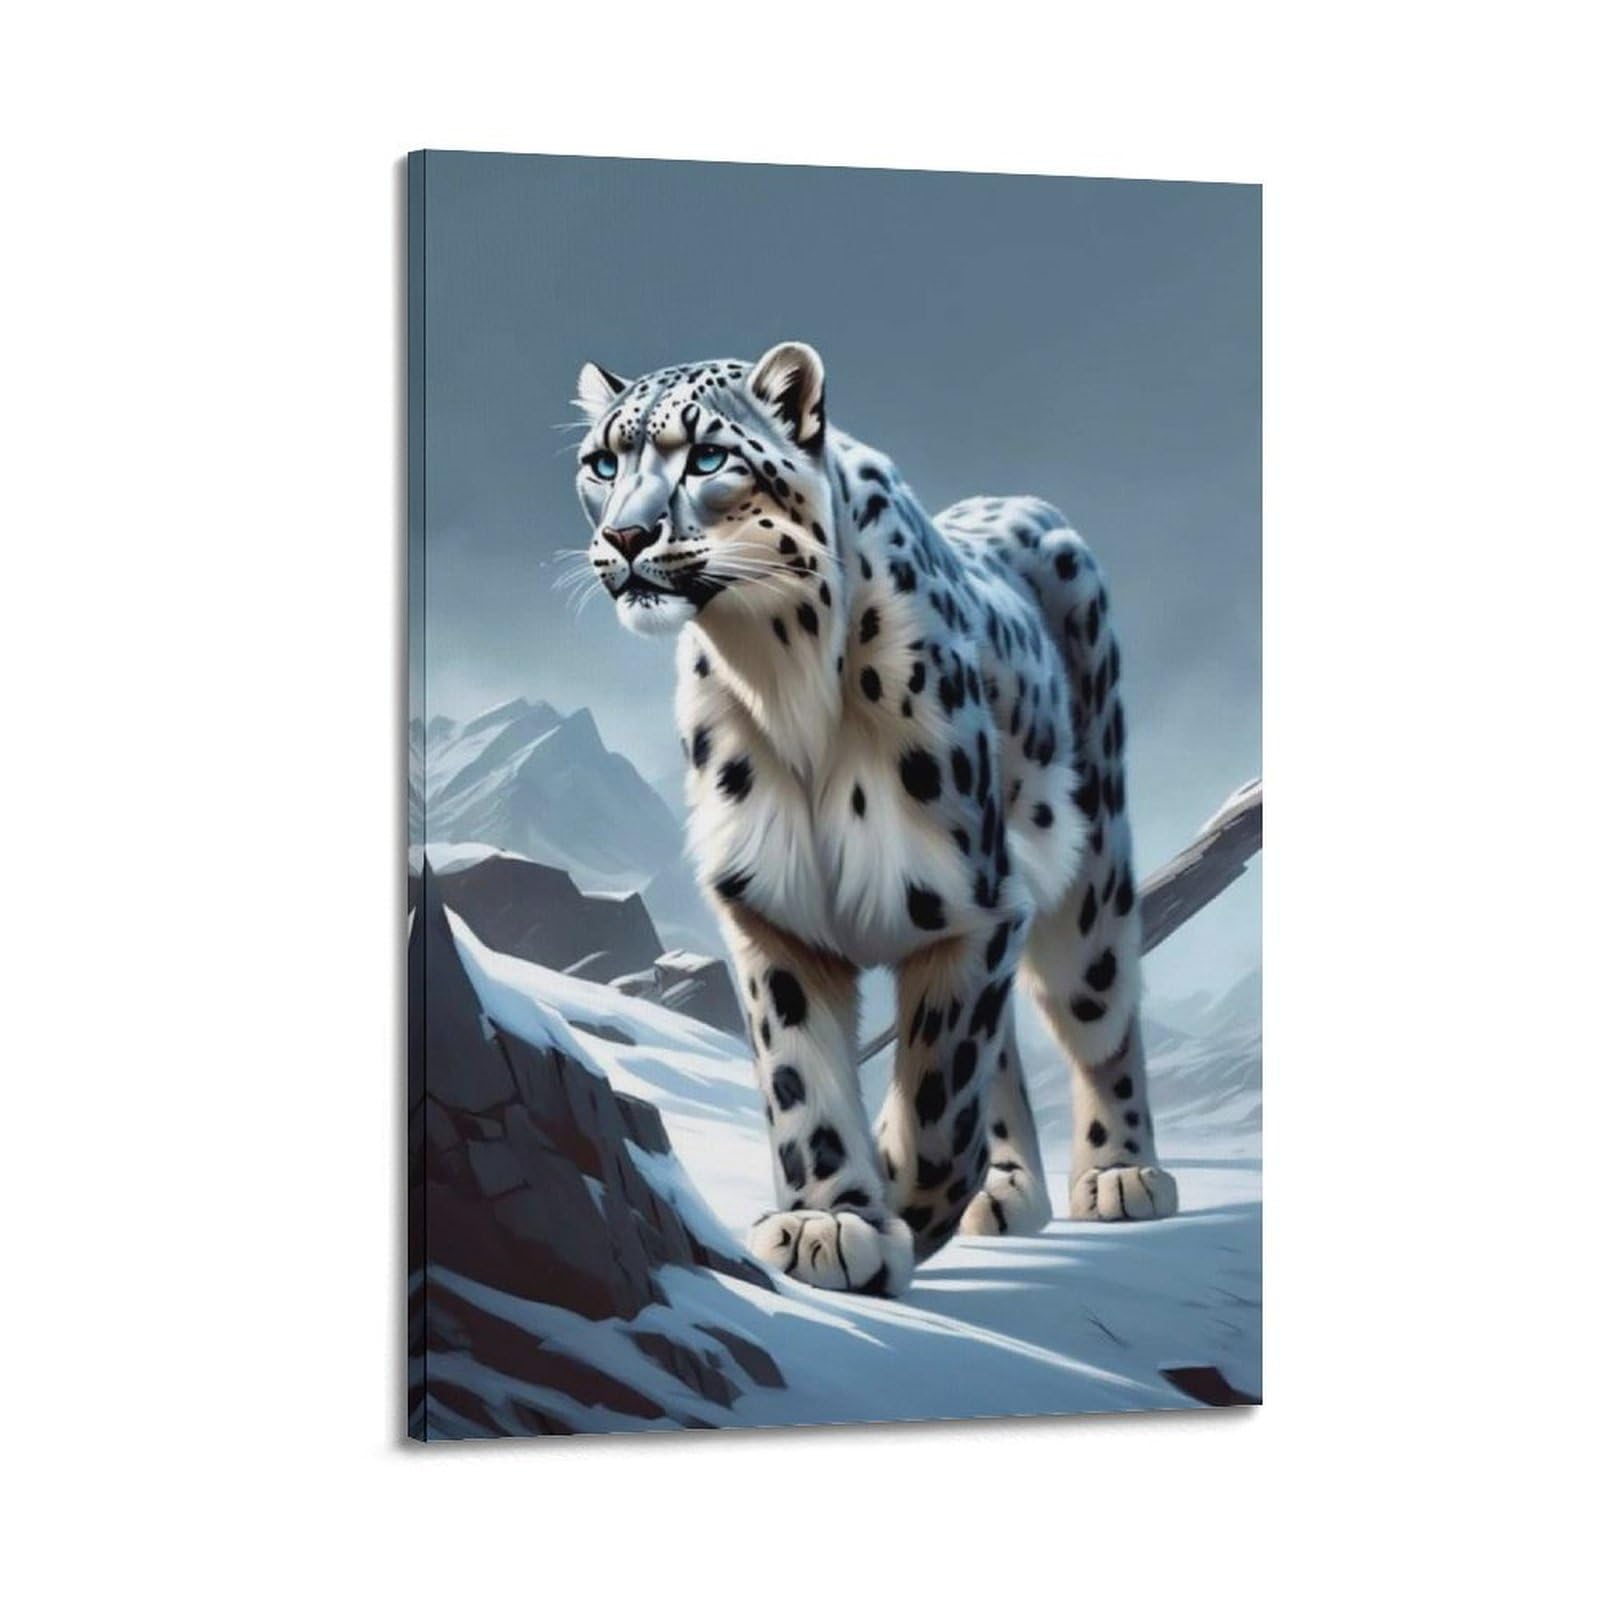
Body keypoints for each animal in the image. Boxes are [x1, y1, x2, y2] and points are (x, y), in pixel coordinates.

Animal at [572, 342, 1177, 1297]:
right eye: (603, 463)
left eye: (706, 457)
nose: (626, 537)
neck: (779, 678)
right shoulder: (772, 906)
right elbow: (800, 1078)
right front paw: (829, 1220)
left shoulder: (967, 897)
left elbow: (939, 1092)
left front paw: (896, 1201)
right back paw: (1008, 1190)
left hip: (1091, 881)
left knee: (1096, 1011)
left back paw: (1120, 1174)